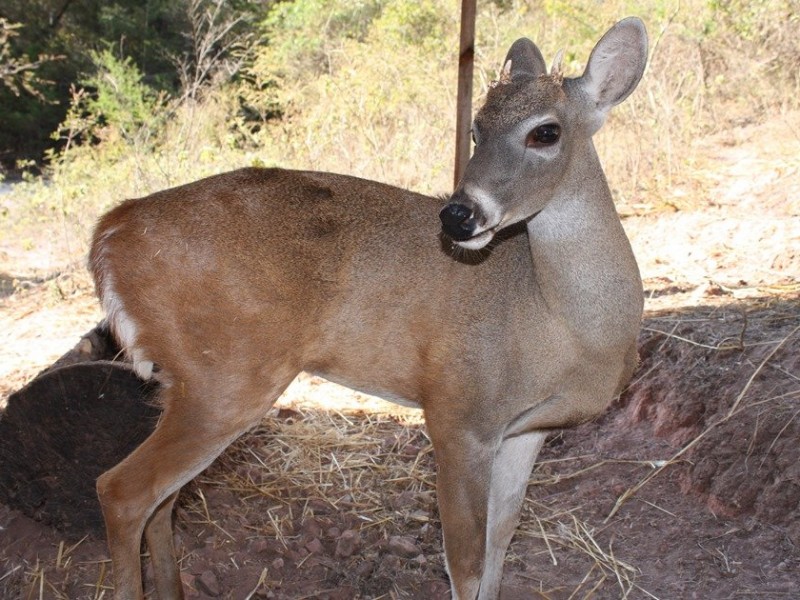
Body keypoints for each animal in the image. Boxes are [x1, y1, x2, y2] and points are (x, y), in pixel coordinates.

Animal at [89, 17, 648, 600]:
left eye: (546, 132)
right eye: (475, 131)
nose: (457, 216)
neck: (561, 327)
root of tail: (110, 232)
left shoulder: (525, 429)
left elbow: (501, 542)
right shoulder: (457, 410)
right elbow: (466, 561)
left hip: (185, 378)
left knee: (163, 499)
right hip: (225, 374)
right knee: (121, 490)